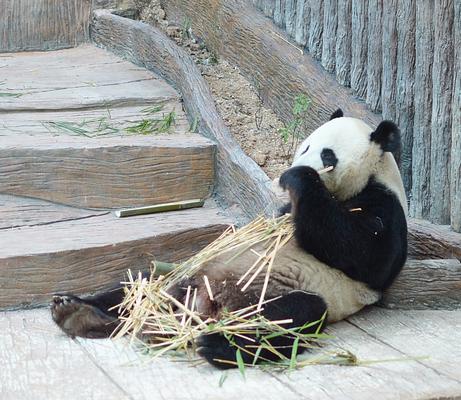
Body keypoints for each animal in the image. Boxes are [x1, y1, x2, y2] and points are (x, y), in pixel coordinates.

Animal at [51, 109, 406, 368]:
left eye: (328, 156)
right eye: (305, 146)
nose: (293, 168)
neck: (370, 178)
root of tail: (198, 308)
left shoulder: (384, 207)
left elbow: (358, 250)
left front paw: (300, 178)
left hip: (276, 296)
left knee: (294, 315)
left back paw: (217, 346)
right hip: (183, 273)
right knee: (140, 282)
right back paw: (77, 311)